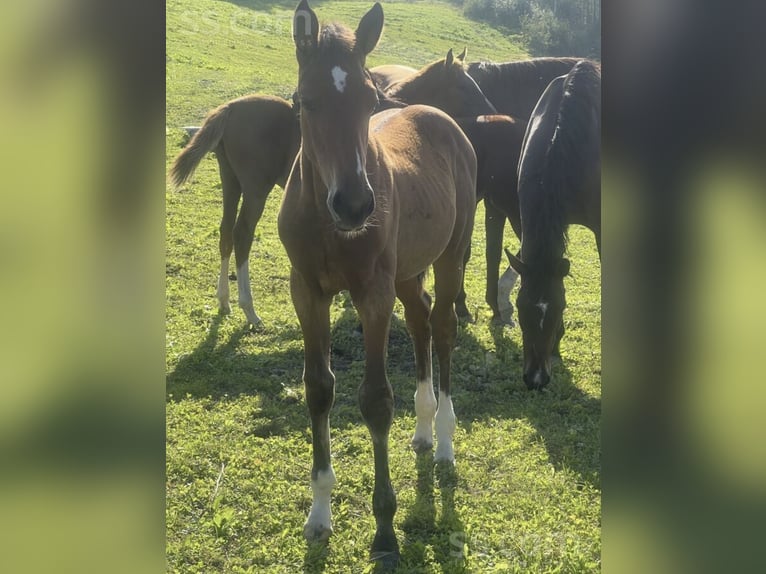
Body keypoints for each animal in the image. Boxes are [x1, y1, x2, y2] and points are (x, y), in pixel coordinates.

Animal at [170, 95, 302, 328]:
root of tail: (230, 108)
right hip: (255, 190)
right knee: (242, 234)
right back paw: (249, 310)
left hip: (230, 180)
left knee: (226, 232)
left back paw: (224, 300)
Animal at [280, 1, 476, 568]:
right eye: (306, 100)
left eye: (369, 100)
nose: (354, 204)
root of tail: (440, 116)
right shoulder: (307, 292)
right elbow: (319, 388)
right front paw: (319, 514)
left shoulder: (372, 295)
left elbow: (375, 400)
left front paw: (385, 531)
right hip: (408, 272)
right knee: (420, 319)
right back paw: (424, 430)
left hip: (451, 254)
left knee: (444, 326)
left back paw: (446, 440)